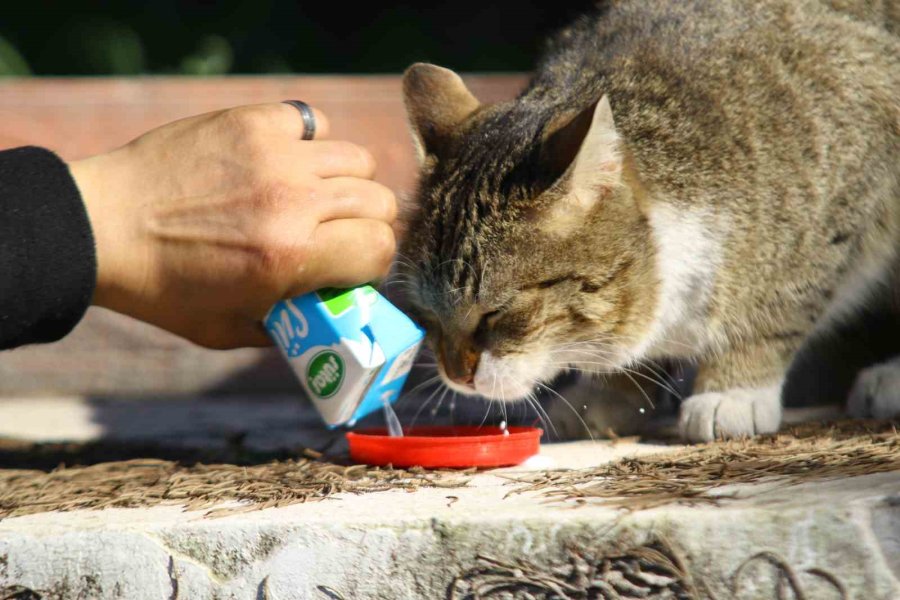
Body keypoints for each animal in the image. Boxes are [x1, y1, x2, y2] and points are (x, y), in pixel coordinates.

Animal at [398, 0, 900, 440]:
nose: (455, 375)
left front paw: (734, 388)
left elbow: (782, 301)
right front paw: (610, 392)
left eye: (496, 313)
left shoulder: (850, 166)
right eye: (428, 314)